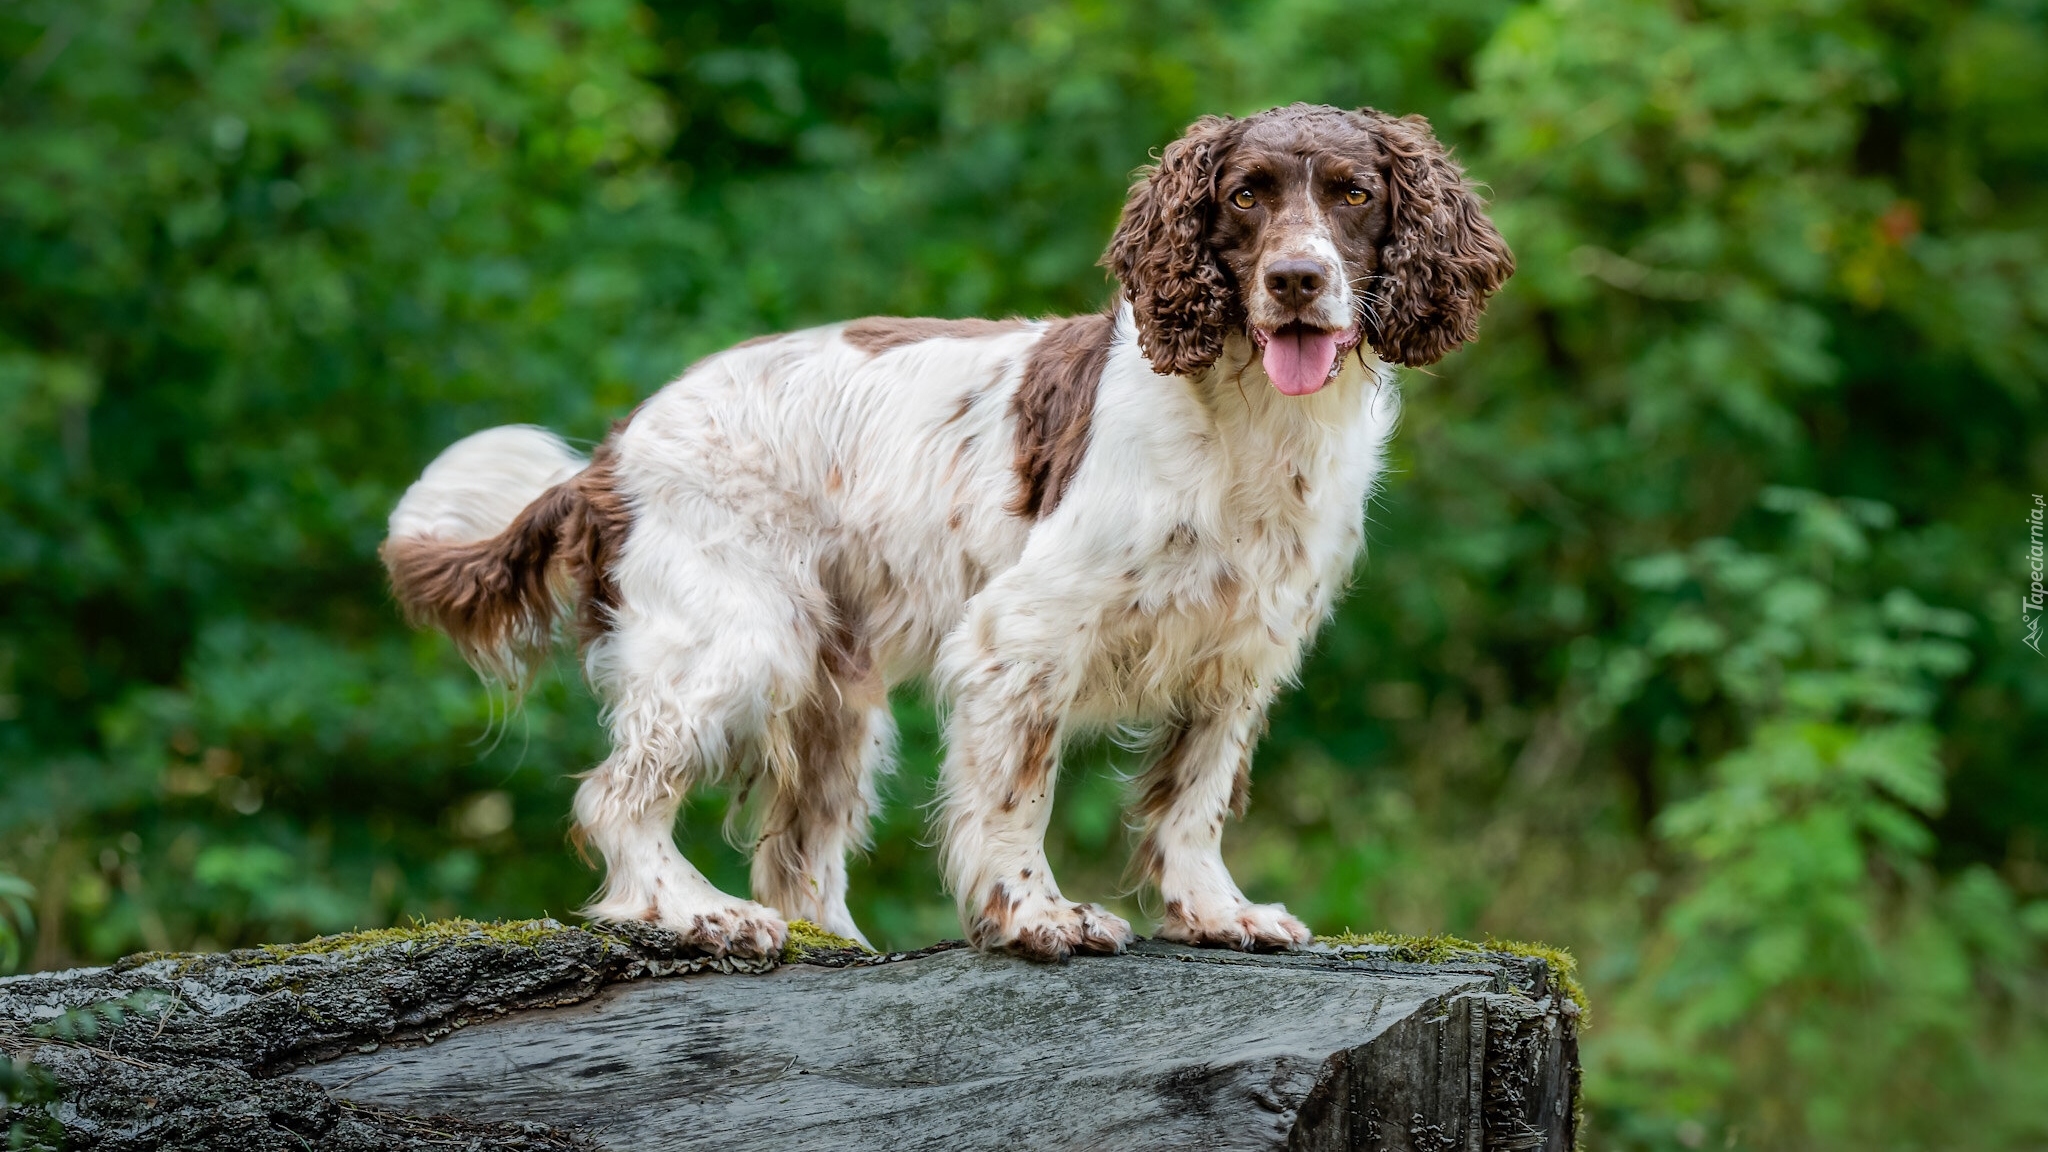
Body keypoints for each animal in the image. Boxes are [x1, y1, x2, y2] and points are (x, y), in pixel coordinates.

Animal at [385, 103, 1515, 955]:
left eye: (1354, 194)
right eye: (1245, 196)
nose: (1294, 281)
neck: (1247, 420)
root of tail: (609, 456)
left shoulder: (1239, 651)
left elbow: (1191, 803)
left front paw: (1215, 913)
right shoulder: (1023, 636)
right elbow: (1017, 796)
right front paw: (1038, 916)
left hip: (832, 696)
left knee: (796, 853)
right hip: (735, 638)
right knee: (622, 800)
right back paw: (702, 914)